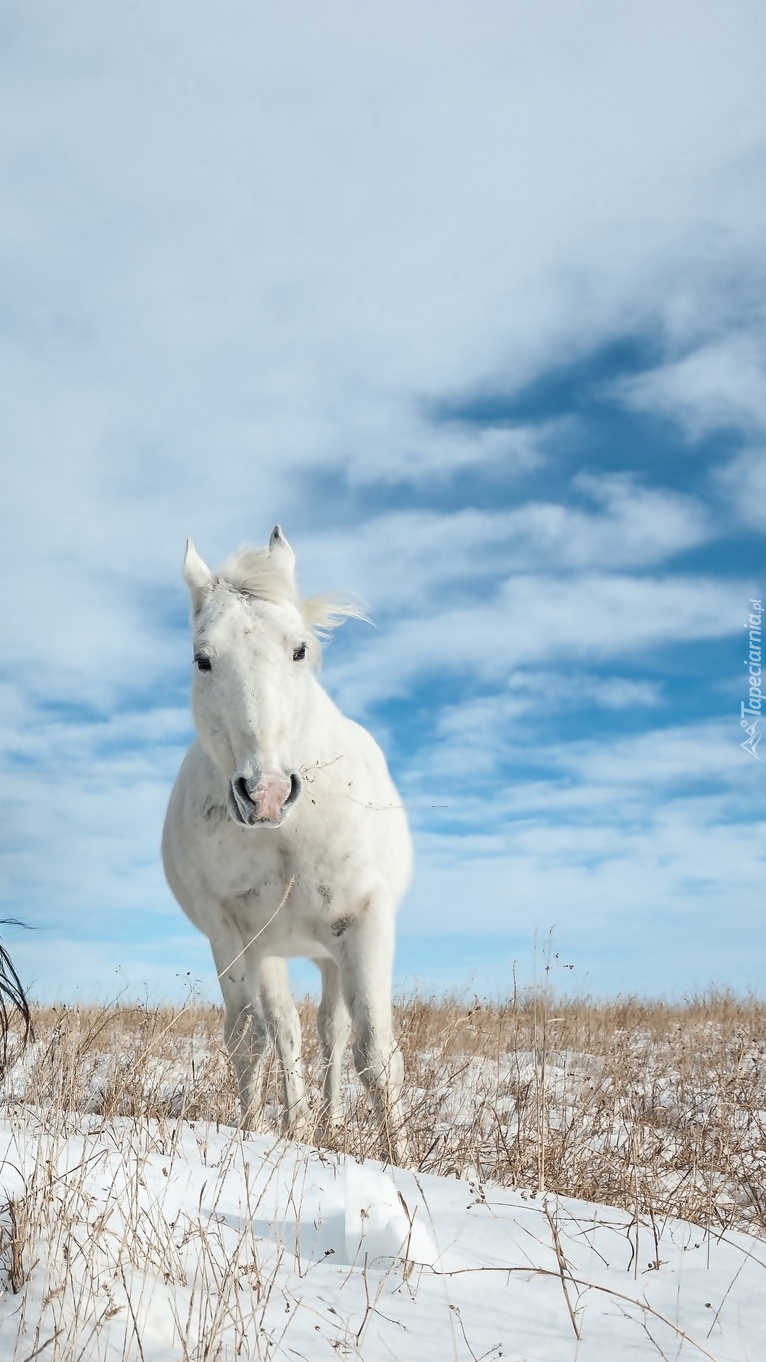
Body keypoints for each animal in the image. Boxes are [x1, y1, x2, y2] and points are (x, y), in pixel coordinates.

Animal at [161, 525, 411, 1165]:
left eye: (298, 650)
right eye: (202, 660)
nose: (267, 793)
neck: (290, 833)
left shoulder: (364, 921)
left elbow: (376, 1055)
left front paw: (404, 1167)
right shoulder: (232, 934)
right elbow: (251, 1043)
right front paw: (253, 1138)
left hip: (329, 953)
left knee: (333, 1032)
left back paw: (330, 1120)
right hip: (272, 950)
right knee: (287, 1031)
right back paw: (301, 1125)